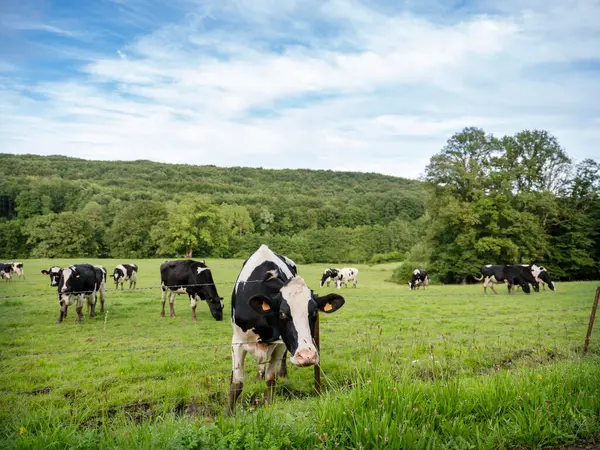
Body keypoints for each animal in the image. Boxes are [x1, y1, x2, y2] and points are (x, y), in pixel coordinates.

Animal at [227, 246, 344, 414]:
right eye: (282, 313)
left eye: (314, 311)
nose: (307, 356)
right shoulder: (237, 342)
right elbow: (237, 384)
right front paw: (229, 414)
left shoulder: (281, 344)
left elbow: (271, 379)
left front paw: (268, 407)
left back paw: (283, 374)